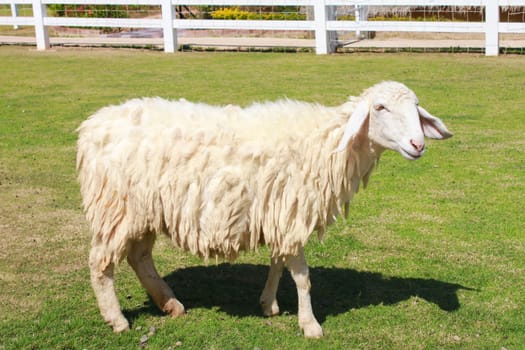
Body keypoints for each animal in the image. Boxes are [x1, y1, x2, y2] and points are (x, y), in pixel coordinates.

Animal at [77, 80, 450, 338]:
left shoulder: (279, 213)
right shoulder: (291, 212)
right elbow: (302, 276)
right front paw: (310, 324)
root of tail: (91, 126)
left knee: (139, 257)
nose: (418, 144)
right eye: (381, 107)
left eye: (416, 108)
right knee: (101, 264)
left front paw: (269, 304)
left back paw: (170, 304)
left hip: (142, 211)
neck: (327, 144)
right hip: (116, 206)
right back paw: (117, 319)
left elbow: (277, 264)